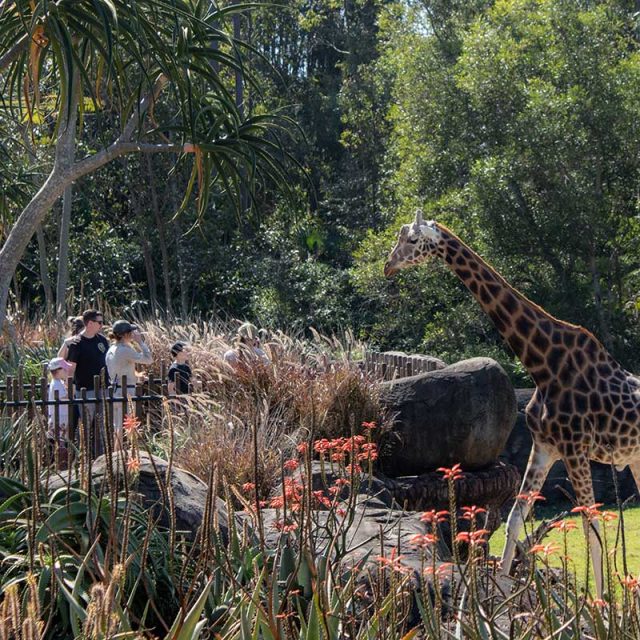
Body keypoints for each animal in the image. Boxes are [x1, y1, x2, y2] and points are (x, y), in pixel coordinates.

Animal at [384, 210, 640, 596]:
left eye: (412, 240)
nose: (388, 266)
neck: (543, 363)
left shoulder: (575, 448)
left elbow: (591, 527)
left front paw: (604, 604)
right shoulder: (545, 446)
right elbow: (515, 520)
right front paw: (502, 594)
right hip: (636, 458)